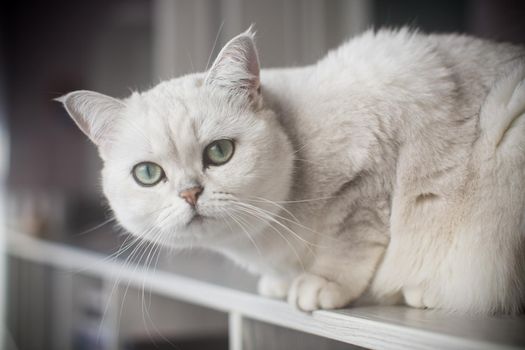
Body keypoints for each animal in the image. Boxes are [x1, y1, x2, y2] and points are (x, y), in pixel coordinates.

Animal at [58, 26, 524, 314]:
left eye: (220, 153)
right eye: (148, 175)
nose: (190, 193)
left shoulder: (370, 171)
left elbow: (348, 243)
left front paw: (319, 285)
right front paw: (281, 285)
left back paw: (425, 292)